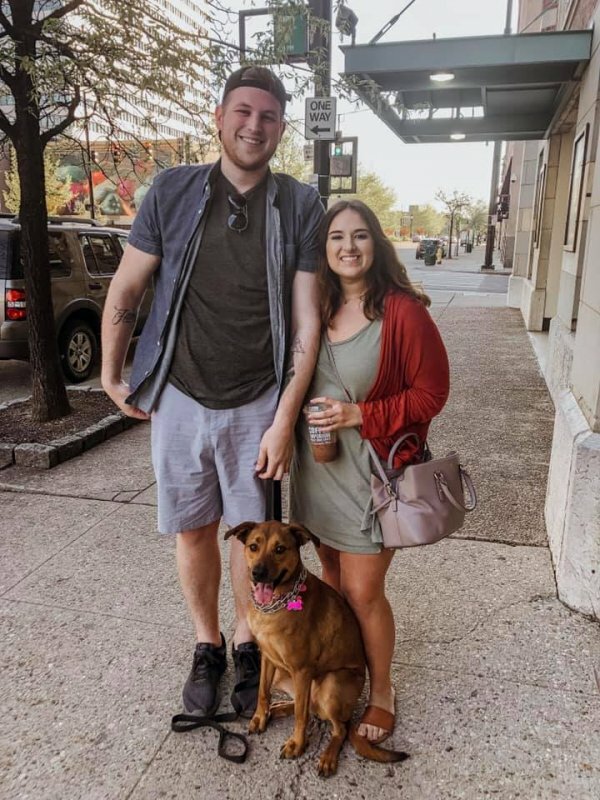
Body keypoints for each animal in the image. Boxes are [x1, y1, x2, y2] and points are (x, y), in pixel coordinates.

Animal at [223, 520, 410, 776]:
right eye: (253, 546)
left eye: (280, 549)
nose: (258, 573)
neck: (275, 605)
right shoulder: (268, 658)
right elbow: (262, 692)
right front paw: (261, 717)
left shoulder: (302, 669)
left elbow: (301, 717)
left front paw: (297, 744)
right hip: (285, 676)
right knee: (308, 707)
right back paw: (277, 708)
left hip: (331, 684)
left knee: (337, 728)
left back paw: (328, 758)